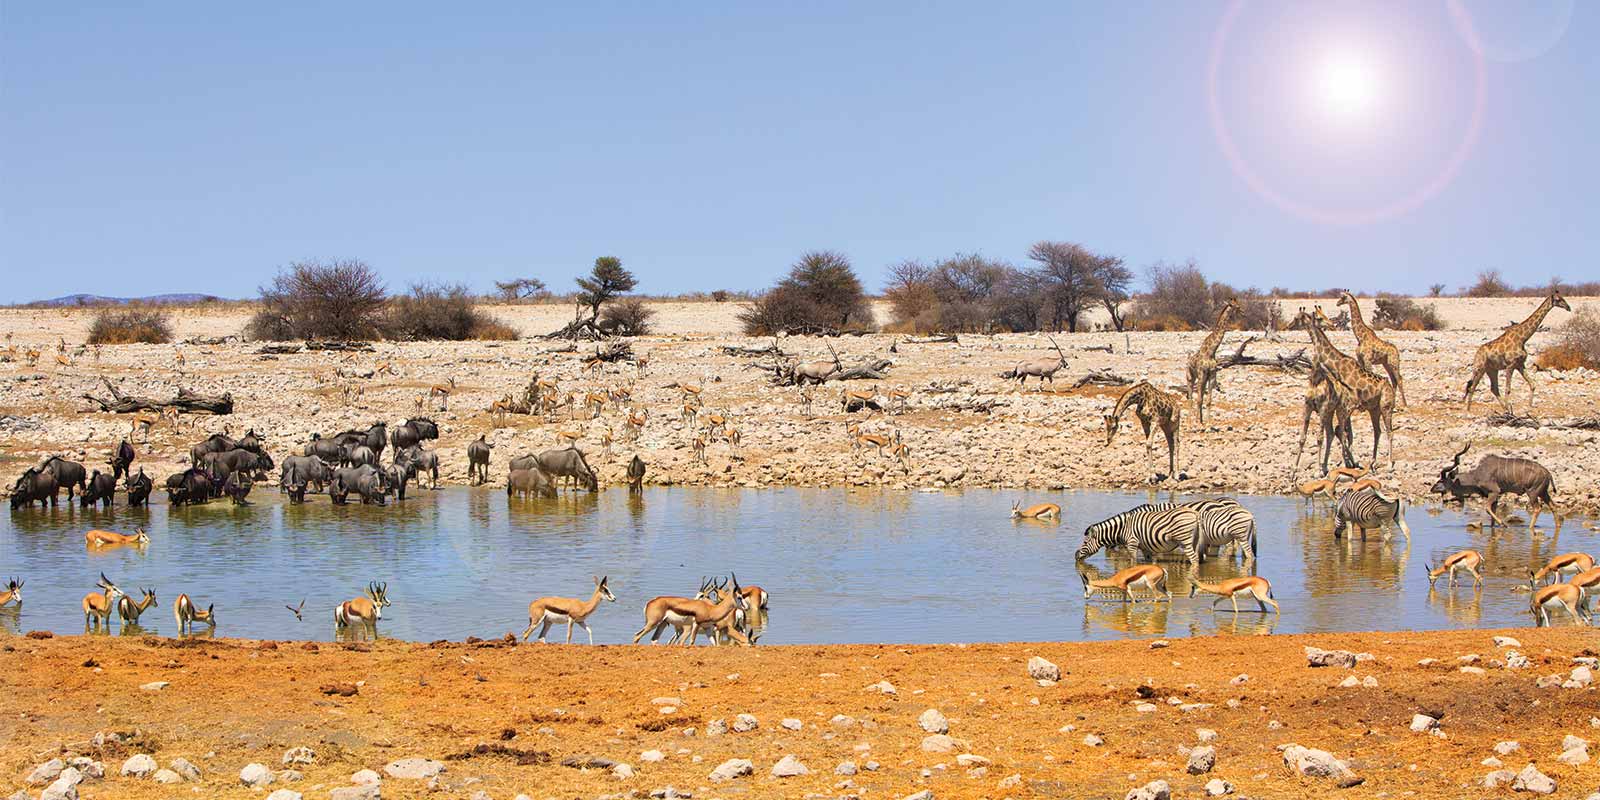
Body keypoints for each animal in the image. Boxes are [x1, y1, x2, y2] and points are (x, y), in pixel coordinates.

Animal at [1296, 307, 1396, 470]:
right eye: (1319, 317)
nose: (1332, 325)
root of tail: (1389, 386)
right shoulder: (1344, 408)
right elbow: (1343, 432)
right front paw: (1349, 461)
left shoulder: (1349, 406)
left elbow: (1344, 433)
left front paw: (1350, 462)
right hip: (1373, 409)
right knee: (1377, 431)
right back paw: (1372, 462)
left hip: (1386, 407)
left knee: (1389, 431)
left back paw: (1388, 464)